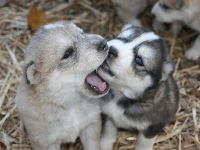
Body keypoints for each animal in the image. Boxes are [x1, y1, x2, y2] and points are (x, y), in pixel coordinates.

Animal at [15, 20, 109, 150]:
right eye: (68, 53)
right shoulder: (47, 143)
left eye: (82, 32)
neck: (70, 104)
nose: (104, 43)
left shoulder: (91, 125)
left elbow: (93, 146)